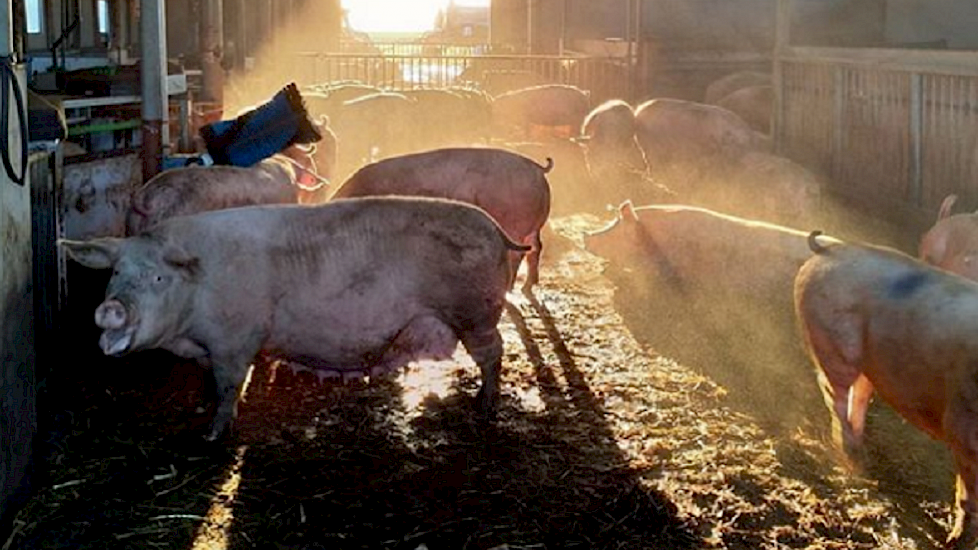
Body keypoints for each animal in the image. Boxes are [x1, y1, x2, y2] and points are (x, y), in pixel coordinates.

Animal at [61, 198, 528, 444]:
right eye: (116, 273)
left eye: (157, 277)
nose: (111, 307)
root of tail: (497, 229)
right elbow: (211, 382)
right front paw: (205, 410)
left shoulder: (236, 342)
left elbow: (229, 386)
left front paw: (213, 435)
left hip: (475, 313)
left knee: (494, 353)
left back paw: (485, 407)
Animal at [330, 147, 548, 294]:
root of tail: (538, 170)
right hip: (534, 226)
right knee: (536, 248)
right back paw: (528, 286)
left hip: (515, 223)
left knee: (518, 254)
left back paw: (510, 289)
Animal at [792, 232, 978, 550]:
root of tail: (829, 251)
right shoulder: (962, 429)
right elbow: (968, 496)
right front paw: (955, 541)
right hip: (833, 344)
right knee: (835, 395)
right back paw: (854, 459)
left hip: (868, 364)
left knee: (858, 395)